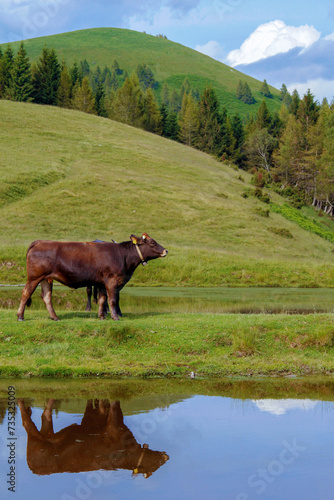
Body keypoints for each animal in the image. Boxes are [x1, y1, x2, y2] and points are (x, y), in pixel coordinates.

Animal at [16, 233, 167, 320]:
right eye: (152, 242)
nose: (166, 250)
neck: (123, 256)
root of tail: (40, 241)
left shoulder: (102, 282)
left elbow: (102, 300)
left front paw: (102, 316)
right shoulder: (112, 280)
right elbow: (112, 300)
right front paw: (115, 317)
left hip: (46, 279)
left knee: (47, 296)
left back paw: (55, 317)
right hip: (34, 277)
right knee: (26, 293)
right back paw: (20, 316)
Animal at [18, 398, 168, 476]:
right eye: (156, 465)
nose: (165, 457)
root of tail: (34, 468)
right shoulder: (113, 426)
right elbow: (113, 407)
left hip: (47, 434)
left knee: (45, 415)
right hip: (35, 438)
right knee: (27, 423)